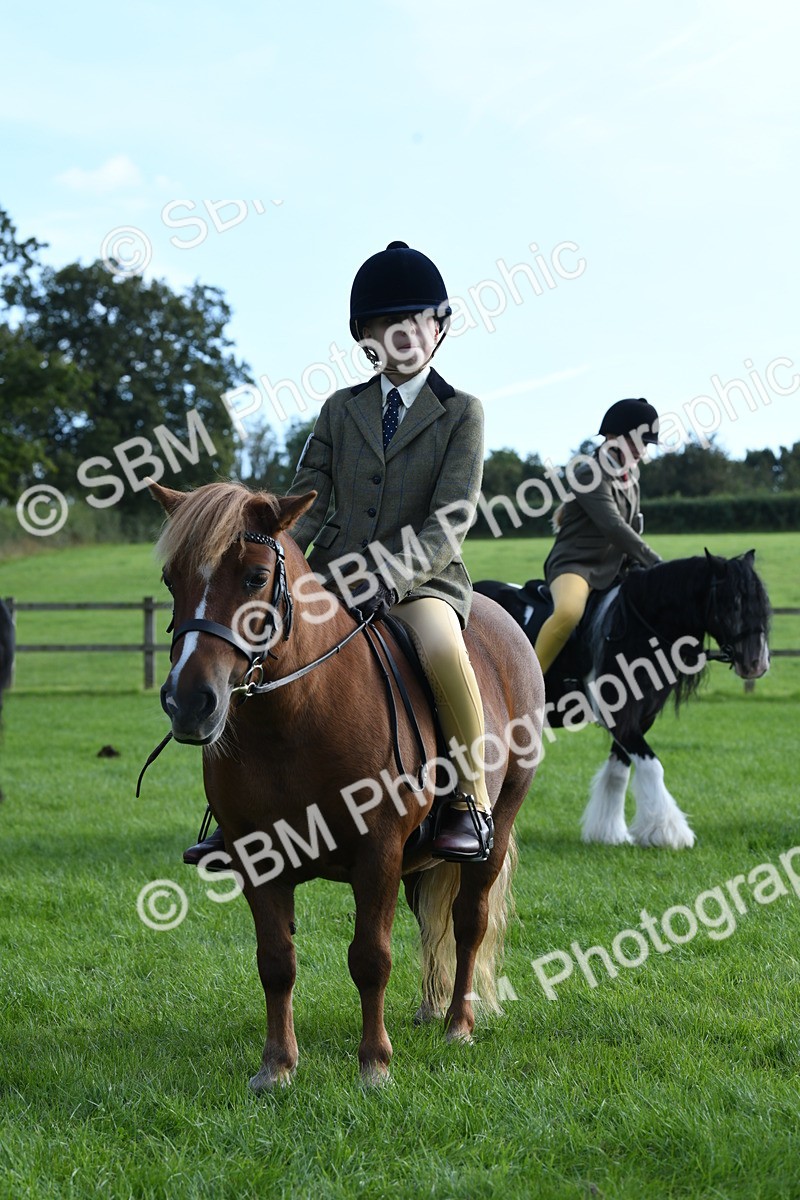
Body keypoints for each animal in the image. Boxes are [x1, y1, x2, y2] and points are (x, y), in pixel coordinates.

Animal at [149, 481, 544, 1089]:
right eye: (172, 579)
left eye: (256, 577)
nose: (189, 703)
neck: (293, 716)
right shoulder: (256, 856)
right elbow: (276, 962)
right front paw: (276, 1066)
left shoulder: (377, 851)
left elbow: (370, 958)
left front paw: (374, 1065)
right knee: (430, 920)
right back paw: (430, 1007)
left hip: (496, 827)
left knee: (467, 921)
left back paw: (457, 1022)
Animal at [476, 550, 770, 850]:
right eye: (732, 604)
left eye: (761, 604)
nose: (756, 663)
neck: (638, 629)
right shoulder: (620, 718)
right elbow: (652, 767)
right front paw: (667, 832)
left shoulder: (640, 718)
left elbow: (619, 771)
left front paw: (608, 832)